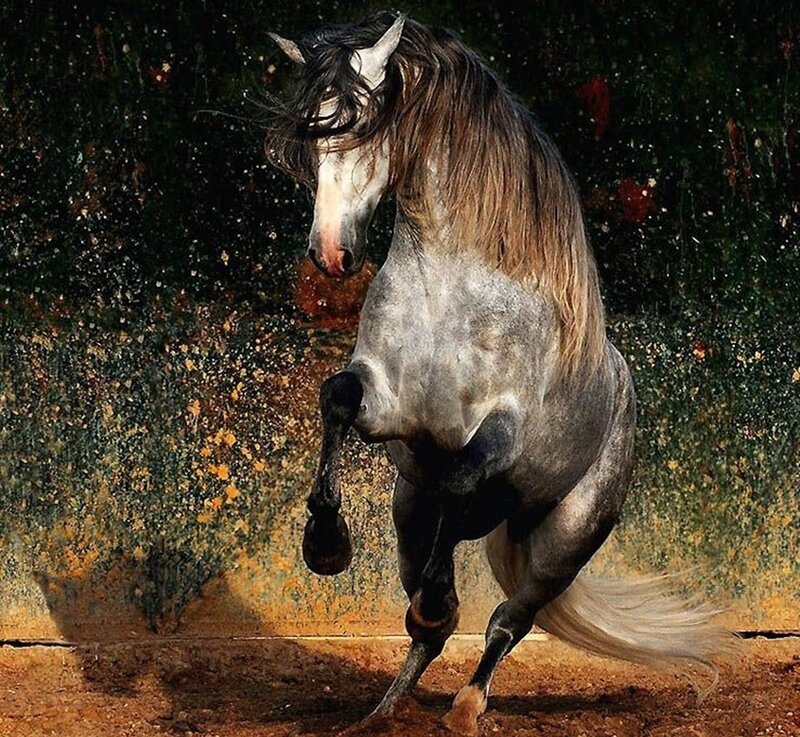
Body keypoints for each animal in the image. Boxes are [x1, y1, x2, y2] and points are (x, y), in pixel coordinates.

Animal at [265, 12, 734, 735]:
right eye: (311, 137)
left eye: (359, 125)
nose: (332, 253)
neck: (449, 292)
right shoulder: (392, 409)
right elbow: (336, 399)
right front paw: (325, 543)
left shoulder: (499, 430)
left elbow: (464, 479)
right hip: (409, 504)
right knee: (430, 621)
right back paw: (381, 710)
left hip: (565, 541)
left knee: (505, 622)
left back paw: (465, 704)